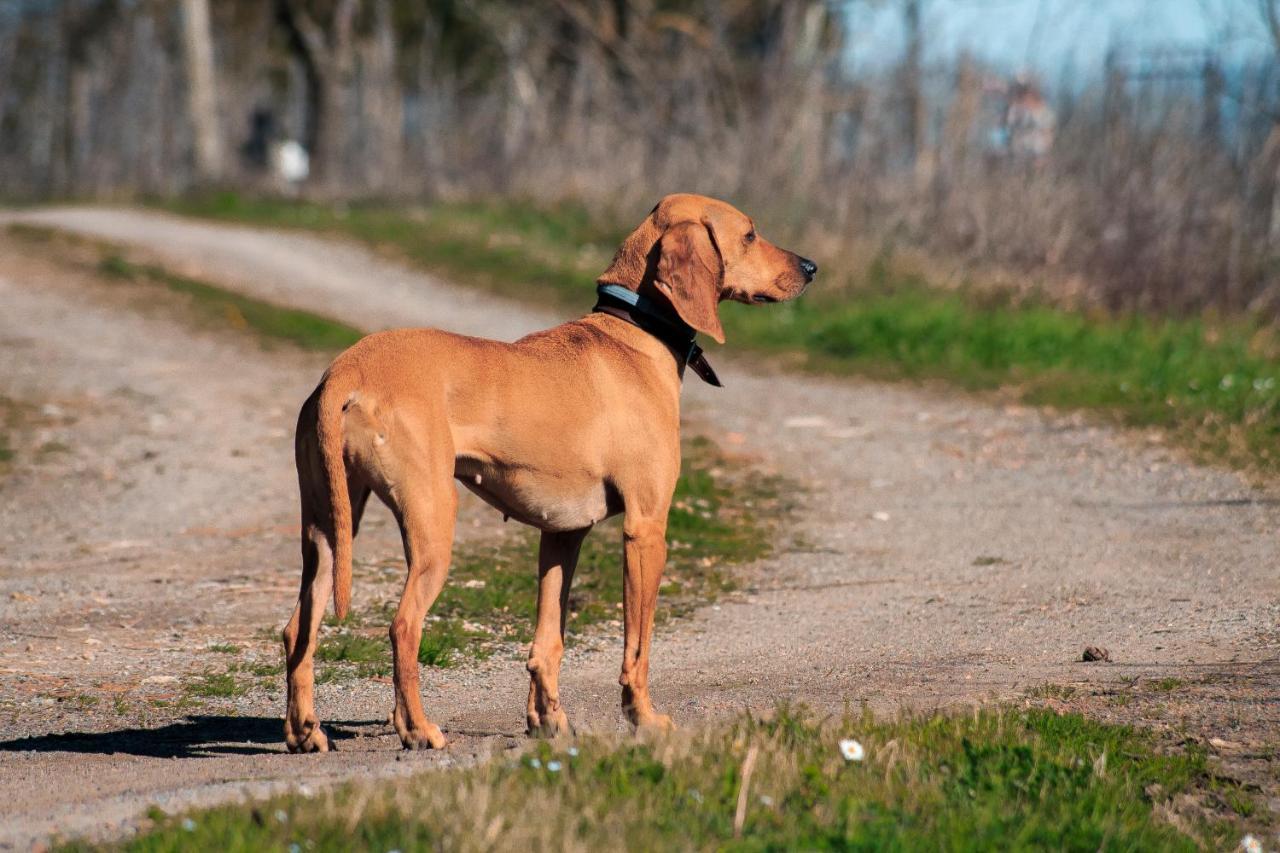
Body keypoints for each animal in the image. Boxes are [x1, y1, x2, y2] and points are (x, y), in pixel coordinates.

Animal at [284, 192, 814, 753]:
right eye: (750, 234)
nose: (810, 267)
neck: (633, 332)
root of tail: (345, 370)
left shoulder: (563, 533)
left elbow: (548, 641)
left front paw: (549, 721)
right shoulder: (646, 529)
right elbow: (638, 647)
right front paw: (644, 719)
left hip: (328, 528)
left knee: (298, 628)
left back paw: (305, 730)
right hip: (431, 522)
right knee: (403, 626)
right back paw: (418, 729)